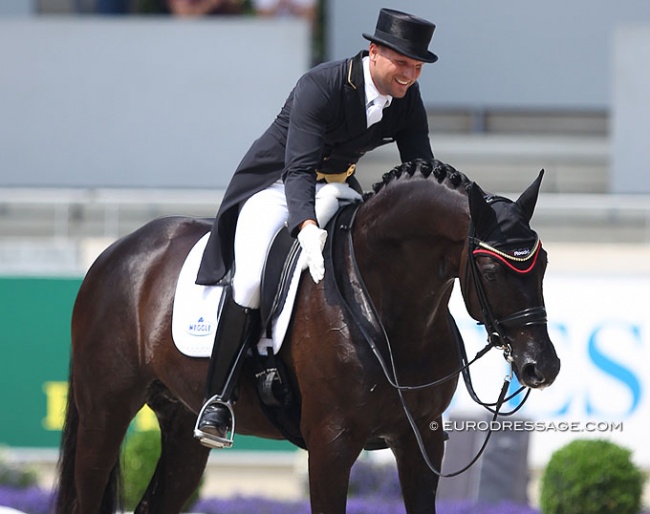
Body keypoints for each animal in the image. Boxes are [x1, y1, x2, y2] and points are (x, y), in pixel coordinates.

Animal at [55, 160, 560, 512]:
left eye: (544, 264)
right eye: (492, 270)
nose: (543, 366)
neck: (387, 309)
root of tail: (116, 253)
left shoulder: (422, 441)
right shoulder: (331, 445)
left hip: (182, 428)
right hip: (105, 413)